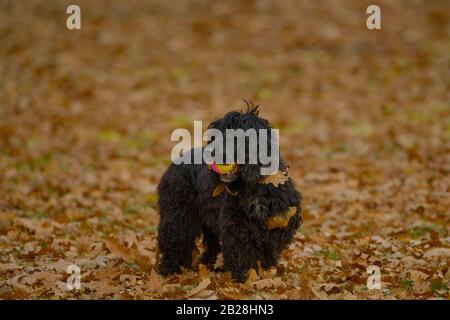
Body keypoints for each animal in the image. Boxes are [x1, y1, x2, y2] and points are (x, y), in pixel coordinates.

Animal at [156, 106, 300, 282]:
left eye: (236, 137)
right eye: (214, 137)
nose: (212, 153)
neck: (253, 185)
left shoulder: (281, 220)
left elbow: (268, 249)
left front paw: (262, 271)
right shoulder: (235, 224)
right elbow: (239, 252)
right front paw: (240, 276)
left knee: (210, 246)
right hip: (177, 214)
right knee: (174, 241)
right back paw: (169, 270)